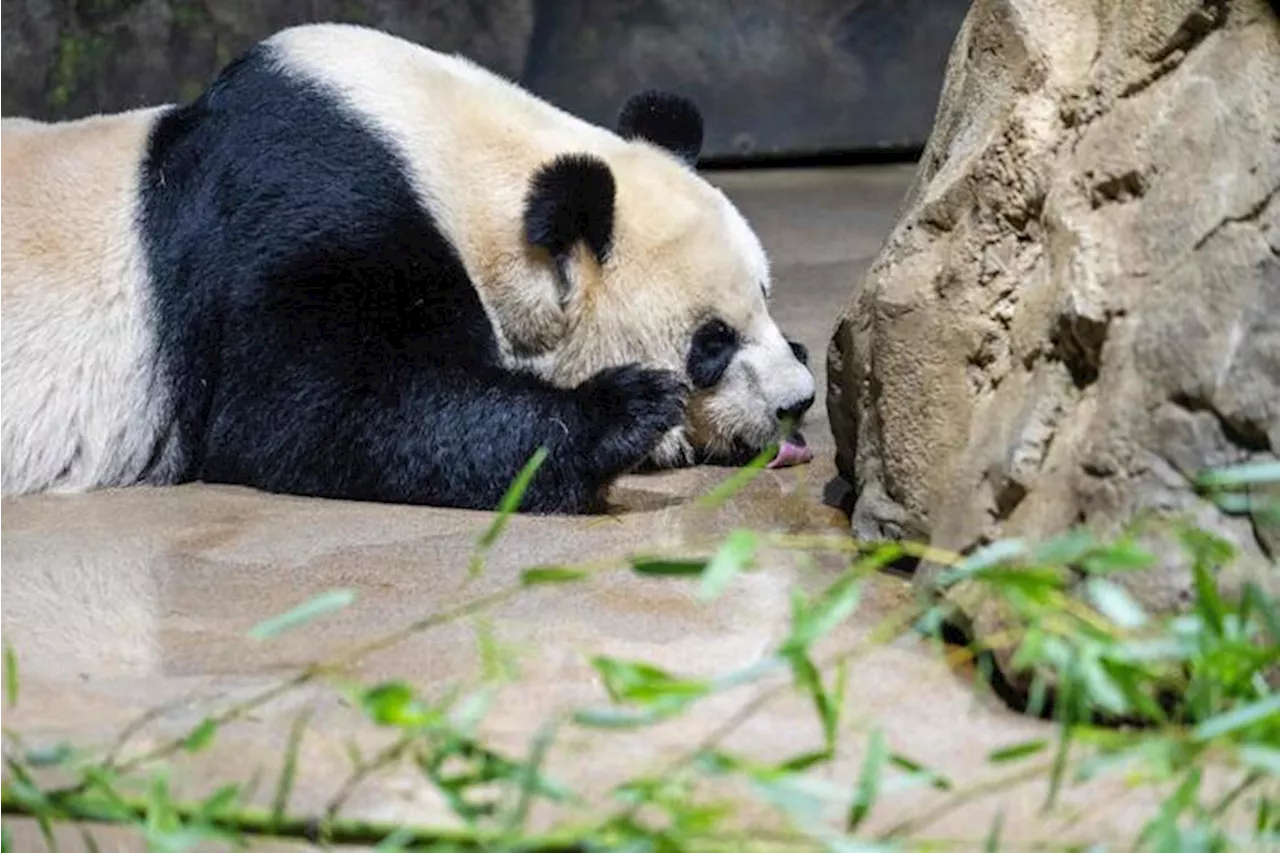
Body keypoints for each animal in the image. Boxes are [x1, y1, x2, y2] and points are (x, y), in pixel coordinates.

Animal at [0, 23, 814, 512]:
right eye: (711, 342)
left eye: (766, 296)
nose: (796, 403)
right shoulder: (302, 215)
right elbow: (312, 412)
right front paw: (632, 412)